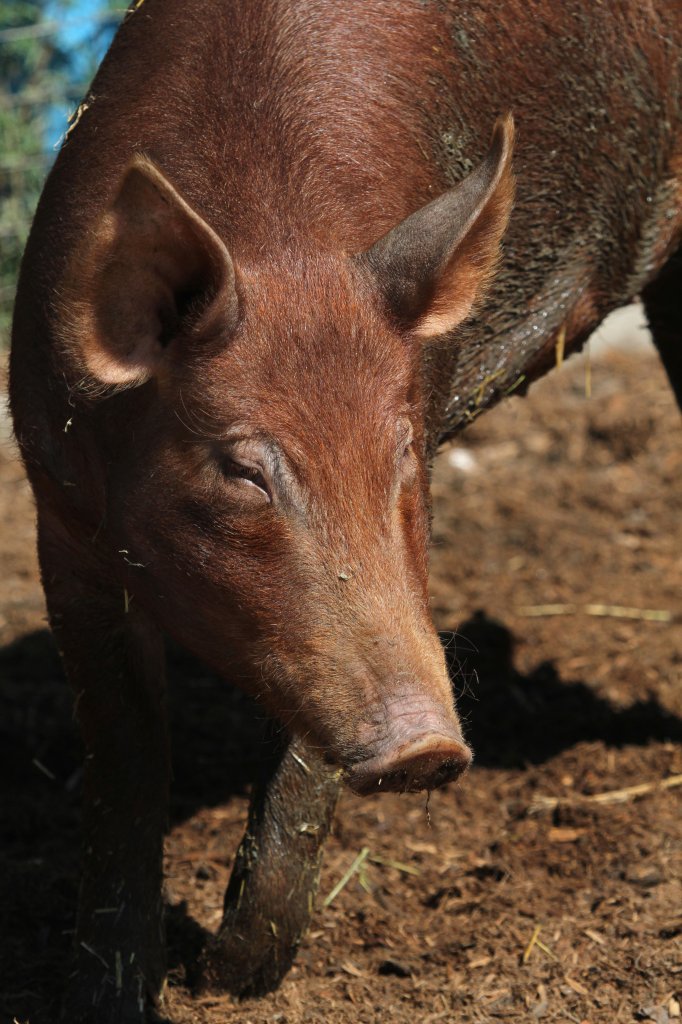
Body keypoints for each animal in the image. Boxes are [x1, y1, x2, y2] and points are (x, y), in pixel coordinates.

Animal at [7, 2, 675, 1024]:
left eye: (401, 453)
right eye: (243, 469)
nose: (430, 745)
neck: (276, 229)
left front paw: (229, 979)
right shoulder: (60, 514)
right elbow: (126, 754)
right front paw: (108, 999)